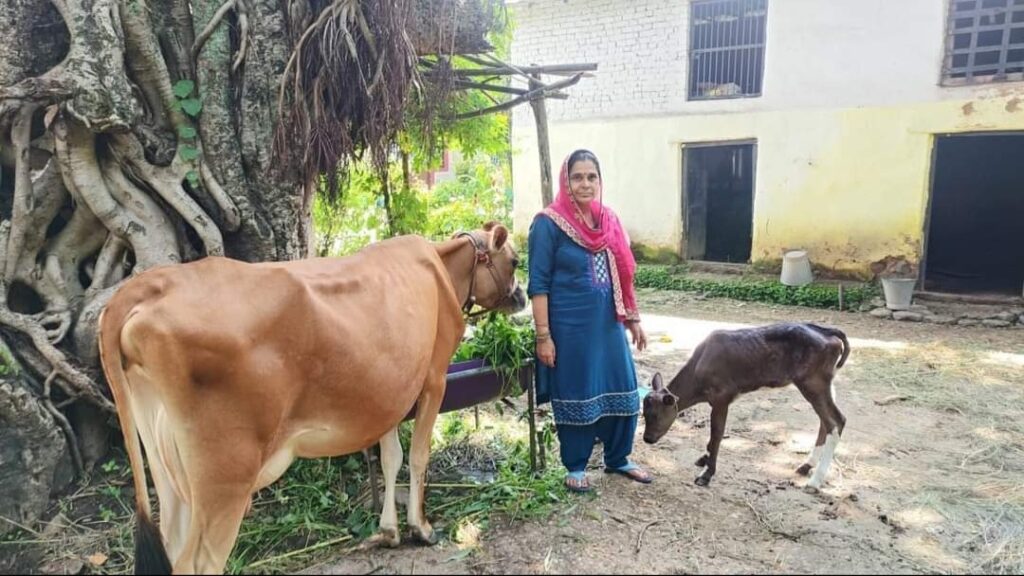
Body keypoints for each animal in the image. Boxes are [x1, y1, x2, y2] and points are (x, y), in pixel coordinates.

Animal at [98, 223, 526, 574]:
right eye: (515, 260)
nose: (521, 297)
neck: (442, 268)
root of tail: (149, 284)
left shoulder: (388, 395)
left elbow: (391, 458)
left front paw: (388, 530)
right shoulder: (434, 379)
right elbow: (418, 455)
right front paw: (420, 528)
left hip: (168, 470)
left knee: (169, 542)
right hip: (225, 476)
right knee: (196, 562)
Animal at [641, 323, 849, 491]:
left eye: (656, 415)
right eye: (644, 413)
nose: (647, 439)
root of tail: (827, 331)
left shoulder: (721, 398)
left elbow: (717, 434)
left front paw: (706, 475)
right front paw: (704, 459)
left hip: (813, 383)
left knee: (836, 421)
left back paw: (815, 482)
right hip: (823, 384)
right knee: (825, 421)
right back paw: (807, 465)